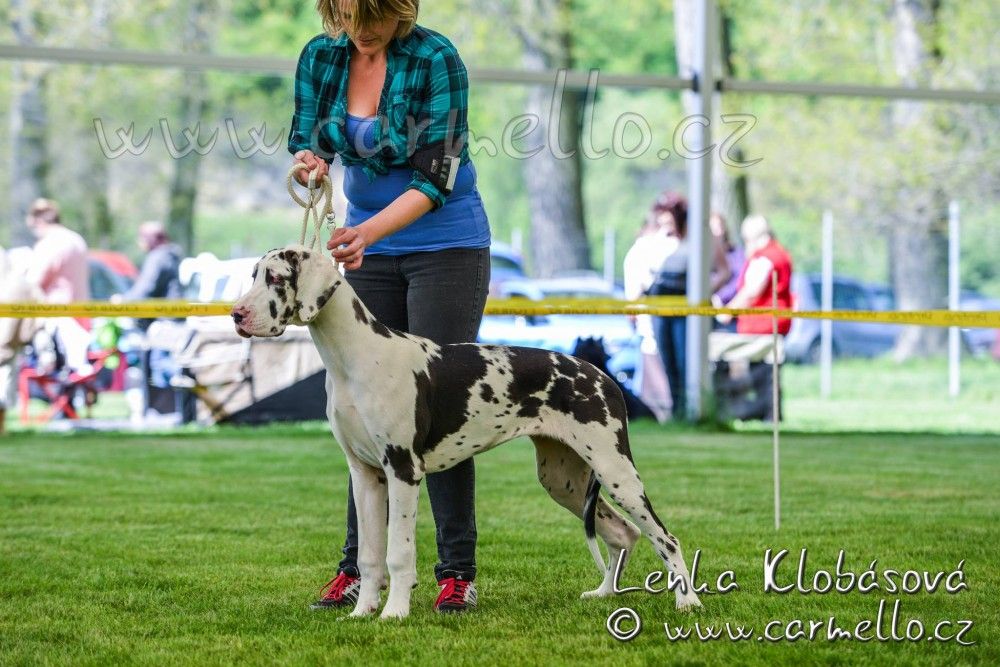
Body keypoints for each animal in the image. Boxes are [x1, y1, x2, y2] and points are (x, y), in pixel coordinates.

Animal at [231, 246, 702, 619]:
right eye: (253, 275)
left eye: (276, 277)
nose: (237, 314)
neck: (355, 357)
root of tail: (606, 377)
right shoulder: (365, 475)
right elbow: (368, 556)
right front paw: (362, 612)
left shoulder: (403, 471)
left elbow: (398, 553)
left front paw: (394, 614)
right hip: (563, 479)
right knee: (624, 533)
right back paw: (605, 594)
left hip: (615, 469)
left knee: (666, 537)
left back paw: (688, 603)